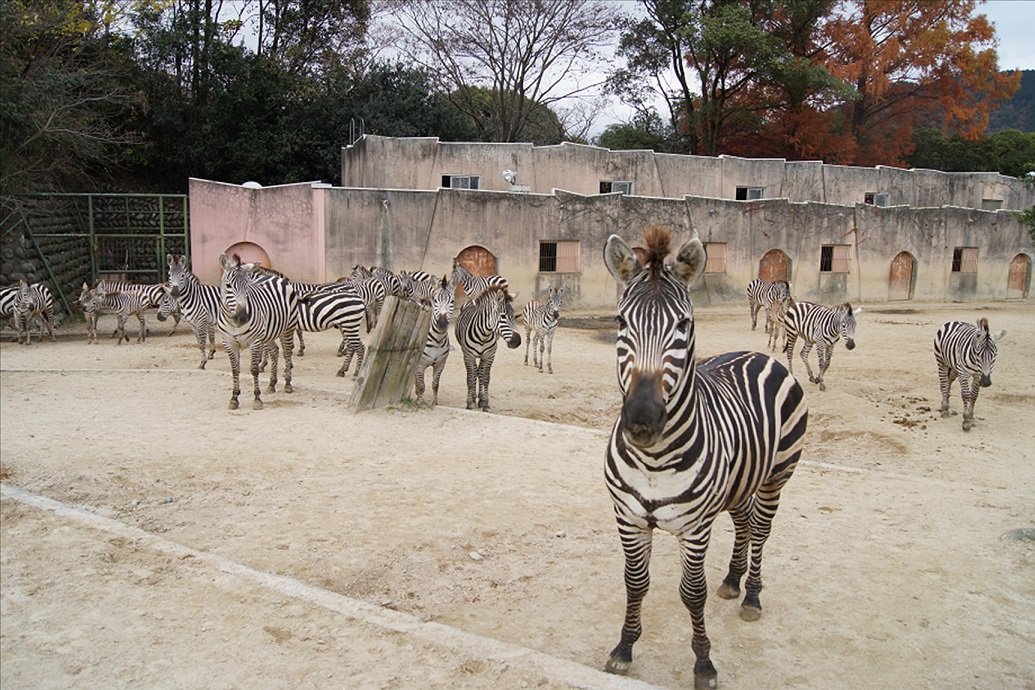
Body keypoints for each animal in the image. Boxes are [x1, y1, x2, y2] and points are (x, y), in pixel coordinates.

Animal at [217, 256, 300, 413]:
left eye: (247, 287)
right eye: (228, 286)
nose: (243, 317)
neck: (234, 323)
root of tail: (275, 276)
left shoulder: (255, 342)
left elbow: (254, 369)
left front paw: (257, 399)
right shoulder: (229, 343)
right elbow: (235, 370)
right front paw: (234, 398)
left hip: (287, 328)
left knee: (287, 352)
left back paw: (287, 384)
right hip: (268, 333)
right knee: (275, 351)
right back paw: (272, 384)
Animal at [414, 275, 455, 405]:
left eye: (452, 301)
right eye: (435, 301)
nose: (442, 324)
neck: (437, 340)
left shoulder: (440, 364)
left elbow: (435, 384)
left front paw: (434, 403)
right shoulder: (420, 364)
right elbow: (421, 385)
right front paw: (420, 402)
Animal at [455, 283, 521, 413]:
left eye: (514, 317)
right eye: (503, 316)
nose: (518, 342)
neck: (483, 335)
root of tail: (473, 300)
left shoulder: (490, 355)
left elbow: (485, 378)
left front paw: (485, 403)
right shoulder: (468, 356)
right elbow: (470, 377)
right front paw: (469, 403)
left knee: (480, 372)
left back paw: (480, 398)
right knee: (473, 373)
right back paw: (473, 397)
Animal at [600, 227, 807, 690]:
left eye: (683, 324)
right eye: (621, 322)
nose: (641, 421)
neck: (654, 461)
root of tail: (756, 353)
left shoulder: (695, 528)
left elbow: (692, 594)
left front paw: (703, 663)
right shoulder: (628, 518)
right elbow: (634, 583)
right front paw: (624, 648)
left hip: (777, 476)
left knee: (761, 531)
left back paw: (751, 595)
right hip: (739, 483)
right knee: (745, 524)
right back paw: (731, 580)